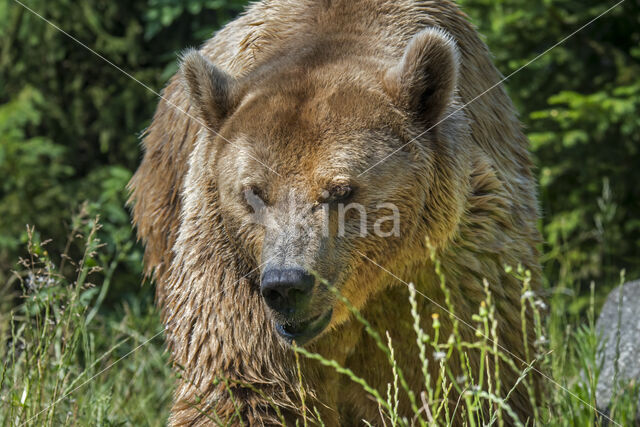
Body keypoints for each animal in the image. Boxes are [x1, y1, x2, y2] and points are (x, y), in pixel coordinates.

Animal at [127, 0, 544, 424]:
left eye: (341, 190)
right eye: (254, 193)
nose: (286, 284)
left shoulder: (448, 264)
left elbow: (469, 371)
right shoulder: (233, 267)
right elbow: (245, 386)